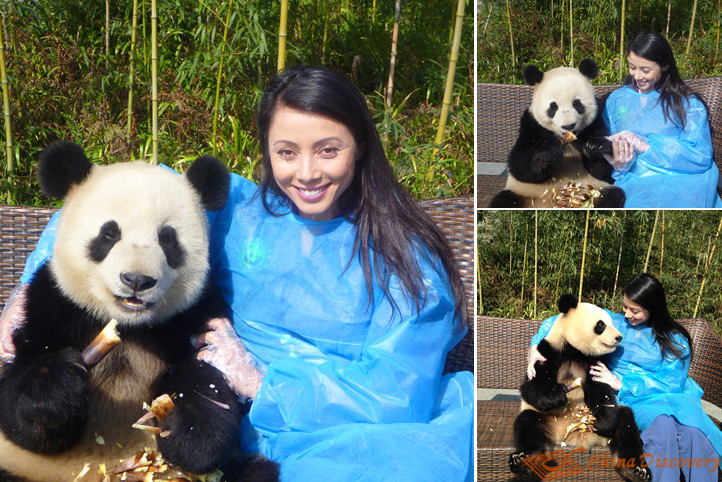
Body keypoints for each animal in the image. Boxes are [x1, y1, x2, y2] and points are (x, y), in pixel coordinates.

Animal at [0, 143, 278, 482]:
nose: (137, 280)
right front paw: (60, 382)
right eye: (109, 234)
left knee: (256, 471)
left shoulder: (194, 314)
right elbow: (19, 410)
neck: (129, 324)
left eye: (168, 239)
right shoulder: (55, 305)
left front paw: (183, 428)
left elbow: (208, 388)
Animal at [490, 59, 624, 208]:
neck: (566, 138)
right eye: (553, 107)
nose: (568, 126)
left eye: (577, 104)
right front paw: (549, 151)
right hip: (524, 194)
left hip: (594, 193)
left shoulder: (595, 123)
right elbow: (519, 164)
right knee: (503, 200)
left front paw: (595, 147)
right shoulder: (531, 123)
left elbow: (605, 172)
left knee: (612, 196)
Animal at [506, 294, 648, 482]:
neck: (573, 349)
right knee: (528, 423)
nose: (619, 337)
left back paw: (635, 470)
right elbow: (531, 386)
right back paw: (525, 461)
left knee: (626, 423)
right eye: (601, 325)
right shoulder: (549, 352)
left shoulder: (593, 362)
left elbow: (600, 389)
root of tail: (577, 437)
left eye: (612, 322)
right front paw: (556, 394)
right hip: (547, 419)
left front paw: (601, 422)